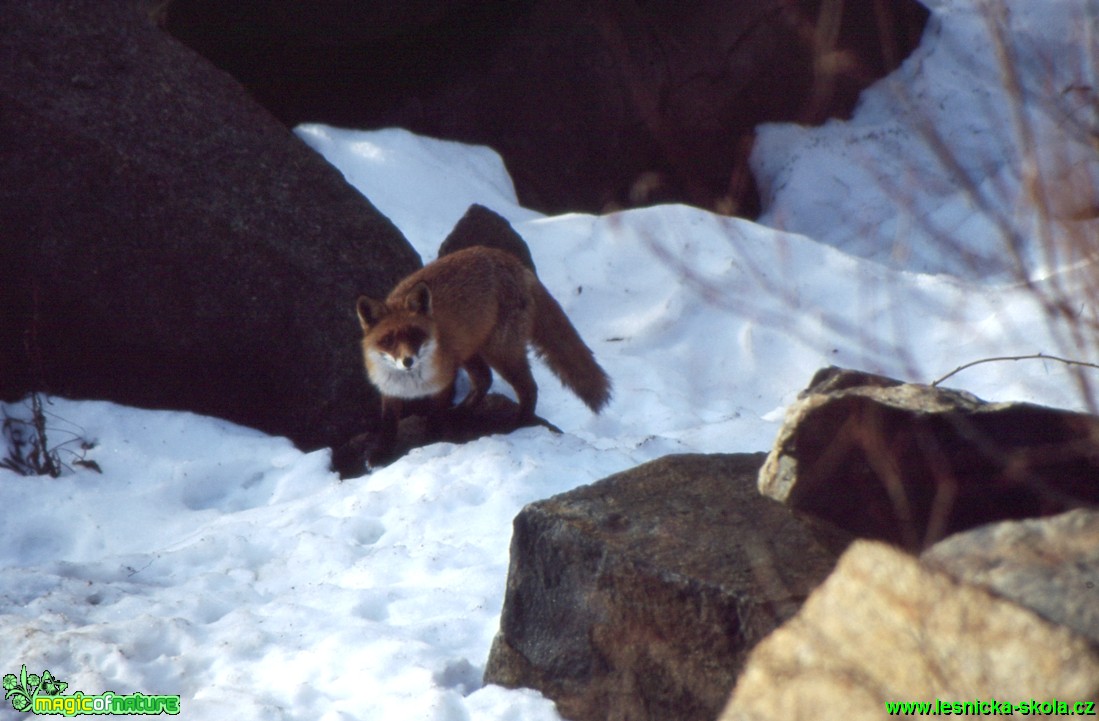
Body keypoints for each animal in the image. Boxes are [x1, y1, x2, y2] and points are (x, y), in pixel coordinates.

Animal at [356, 246, 611, 461]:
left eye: (415, 335)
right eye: (389, 340)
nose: (407, 360)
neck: (412, 384)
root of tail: (513, 262)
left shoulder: (443, 383)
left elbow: (435, 417)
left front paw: (431, 443)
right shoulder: (389, 389)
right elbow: (388, 425)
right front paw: (380, 454)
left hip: (500, 353)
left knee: (528, 388)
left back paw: (518, 423)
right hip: (470, 351)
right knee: (484, 380)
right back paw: (461, 413)